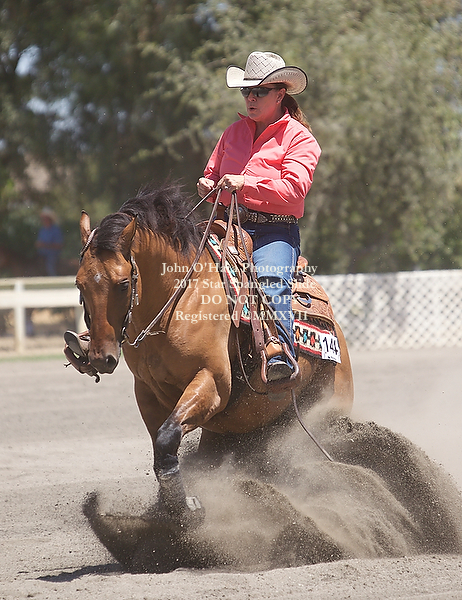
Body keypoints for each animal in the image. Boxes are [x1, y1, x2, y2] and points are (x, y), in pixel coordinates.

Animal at [74, 182, 354, 526]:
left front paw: (185, 509)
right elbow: (160, 447)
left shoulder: (213, 381)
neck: (178, 299)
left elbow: (167, 437)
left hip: (332, 407)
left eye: (123, 283)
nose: (101, 357)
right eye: (80, 284)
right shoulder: (147, 391)